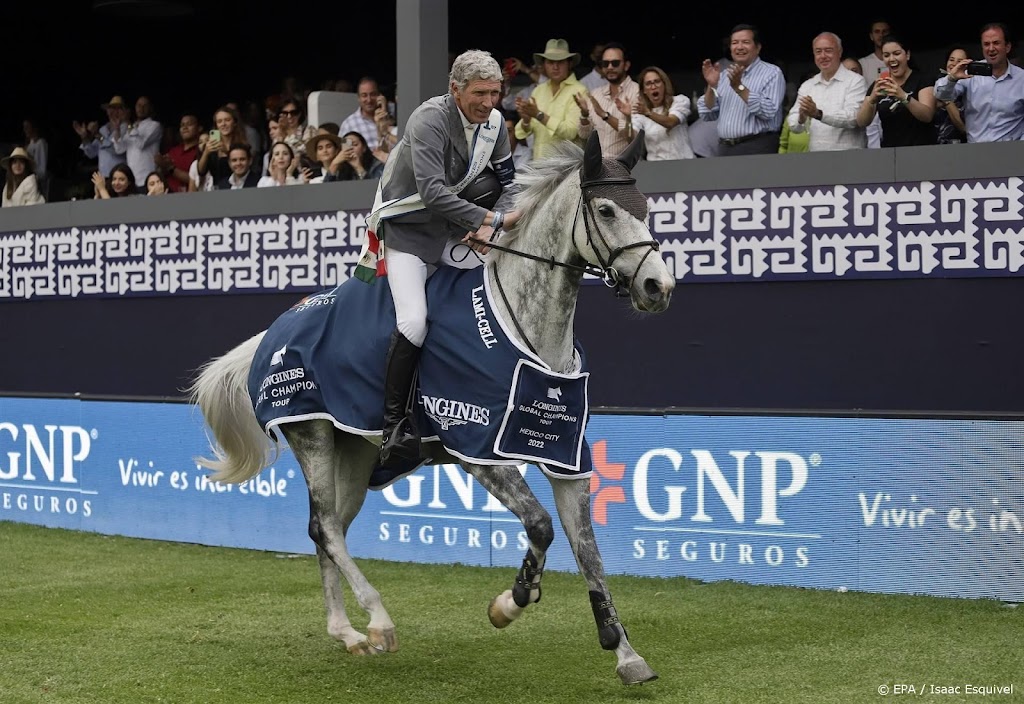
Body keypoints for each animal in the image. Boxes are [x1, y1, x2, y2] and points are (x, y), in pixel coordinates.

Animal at [189, 130, 675, 683]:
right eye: (607, 210)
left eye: (646, 209)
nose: (658, 288)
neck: (526, 328)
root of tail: (274, 332)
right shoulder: (475, 447)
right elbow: (541, 526)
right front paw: (511, 601)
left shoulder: (567, 460)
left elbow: (588, 552)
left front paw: (625, 653)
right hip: (311, 433)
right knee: (324, 527)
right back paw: (376, 622)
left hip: (354, 452)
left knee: (330, 528)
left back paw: (347, 633)